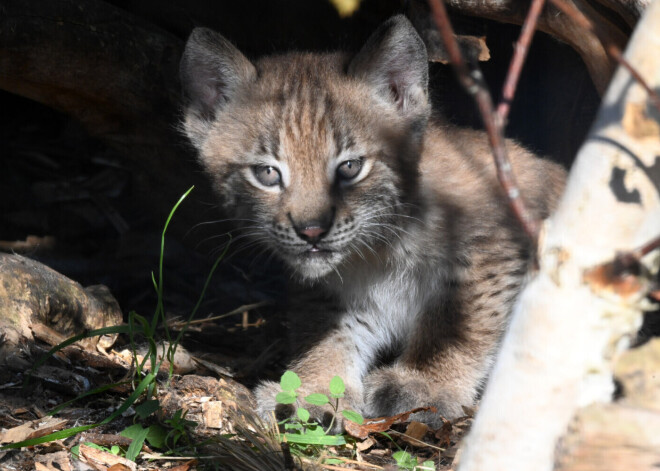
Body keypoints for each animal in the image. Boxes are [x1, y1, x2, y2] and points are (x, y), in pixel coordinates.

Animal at [180, 15, 568, 428]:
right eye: (267, 173)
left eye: (350, 167)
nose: (311, 230)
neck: (380, 244)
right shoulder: (328, 290)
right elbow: (326, 334)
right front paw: (312, 390)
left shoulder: (495, 245)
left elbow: (459, 325)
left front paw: (426, 385)